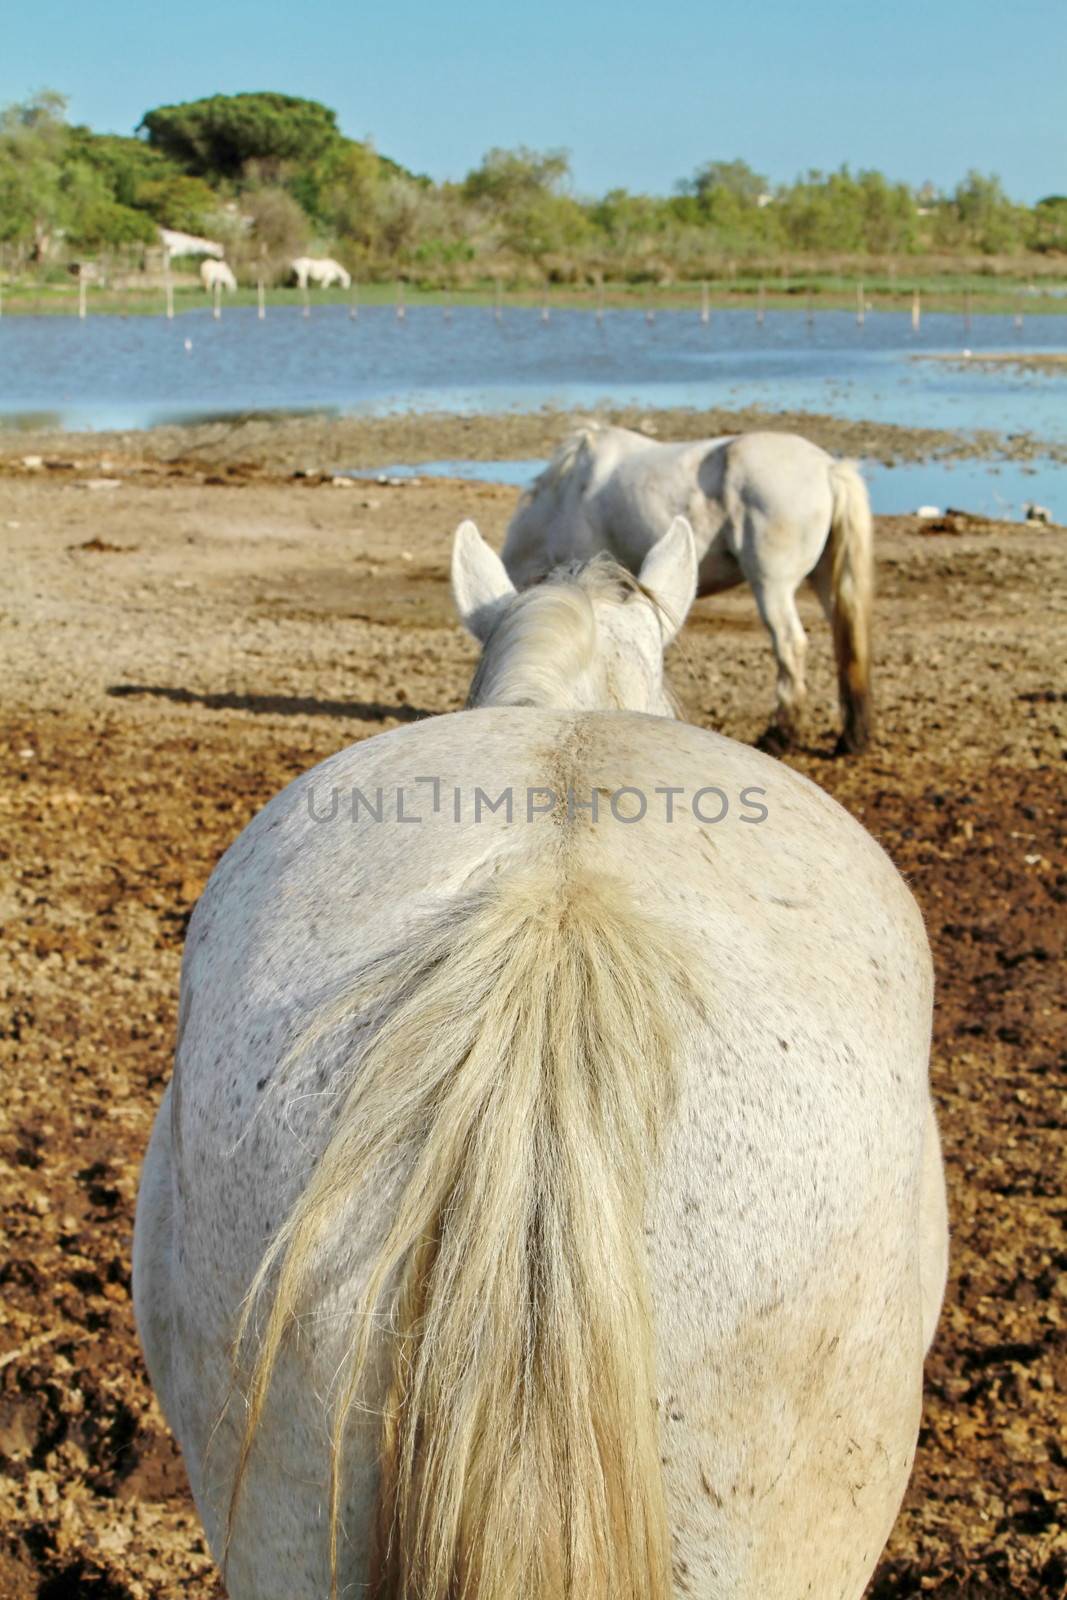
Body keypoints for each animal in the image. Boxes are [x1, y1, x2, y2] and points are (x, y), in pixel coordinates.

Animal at [505, 422, 883, 752]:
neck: (563, 499)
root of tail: (828, 468)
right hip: (823, 578)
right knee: (846, 642)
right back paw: (851, 738)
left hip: (772, 584)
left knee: (791, 643)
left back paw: (782, 734)